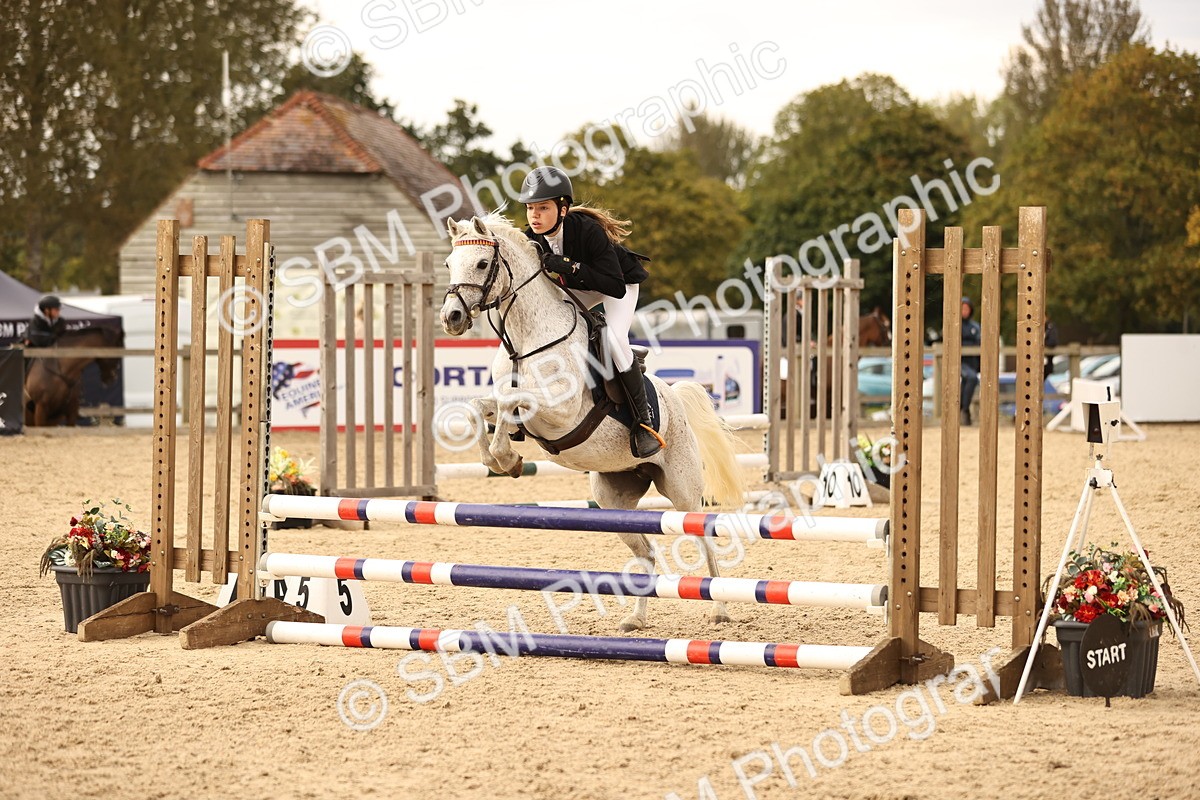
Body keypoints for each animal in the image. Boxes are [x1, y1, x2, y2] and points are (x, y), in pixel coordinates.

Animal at [438, 214, 745, 632]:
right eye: (449, 264)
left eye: (483, 264)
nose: (451, 319)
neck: (526, 340)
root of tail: (676, 401)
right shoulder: (506, 401)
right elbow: (481, 406)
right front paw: (501, 459)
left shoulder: (561, 410)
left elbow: (511, 403)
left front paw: (507, 458)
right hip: (613, 500)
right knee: (646, 552)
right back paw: (635, 619)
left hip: (682, 491)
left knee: (702, 539)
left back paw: (719, 608)